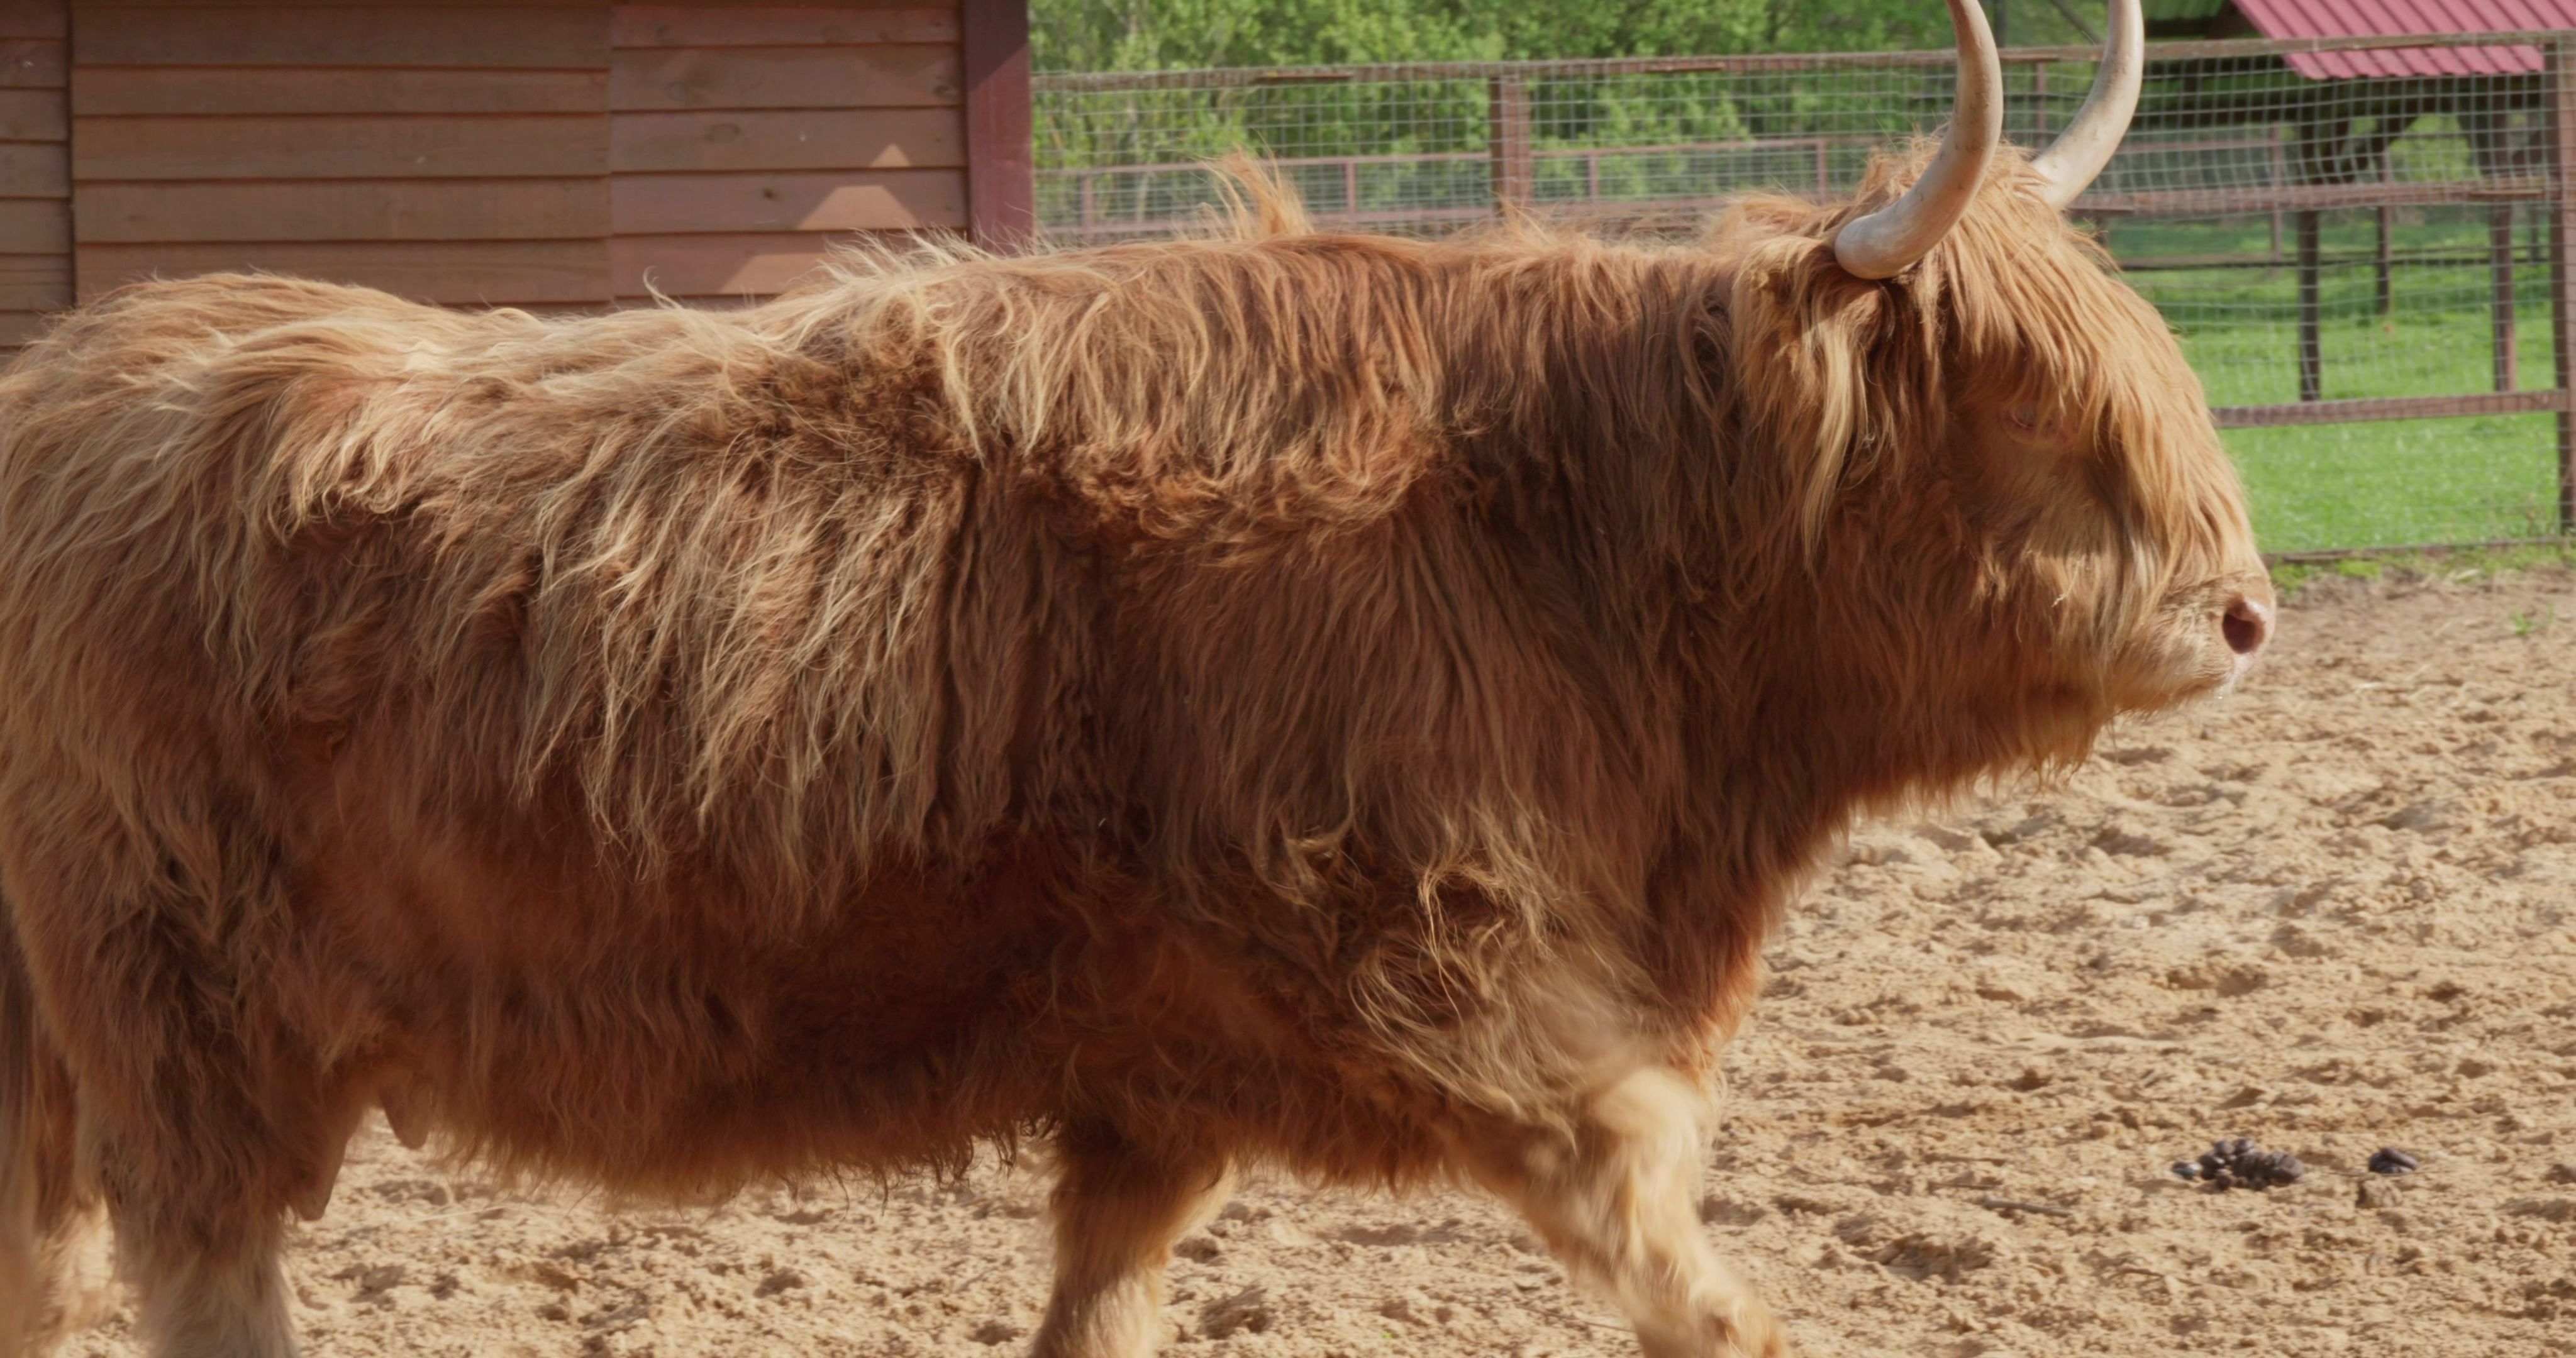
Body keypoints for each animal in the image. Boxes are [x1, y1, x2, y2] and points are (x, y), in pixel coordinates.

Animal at [0, 1, 2265, 1354]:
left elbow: (1103, 1297)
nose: (2244, 613)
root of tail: (74, 380)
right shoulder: (1432, 956)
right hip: (180, 1017)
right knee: (199, 1258)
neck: (1553, 537)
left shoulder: (1153, 1073)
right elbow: (1673, 1241)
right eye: (2025, 399)